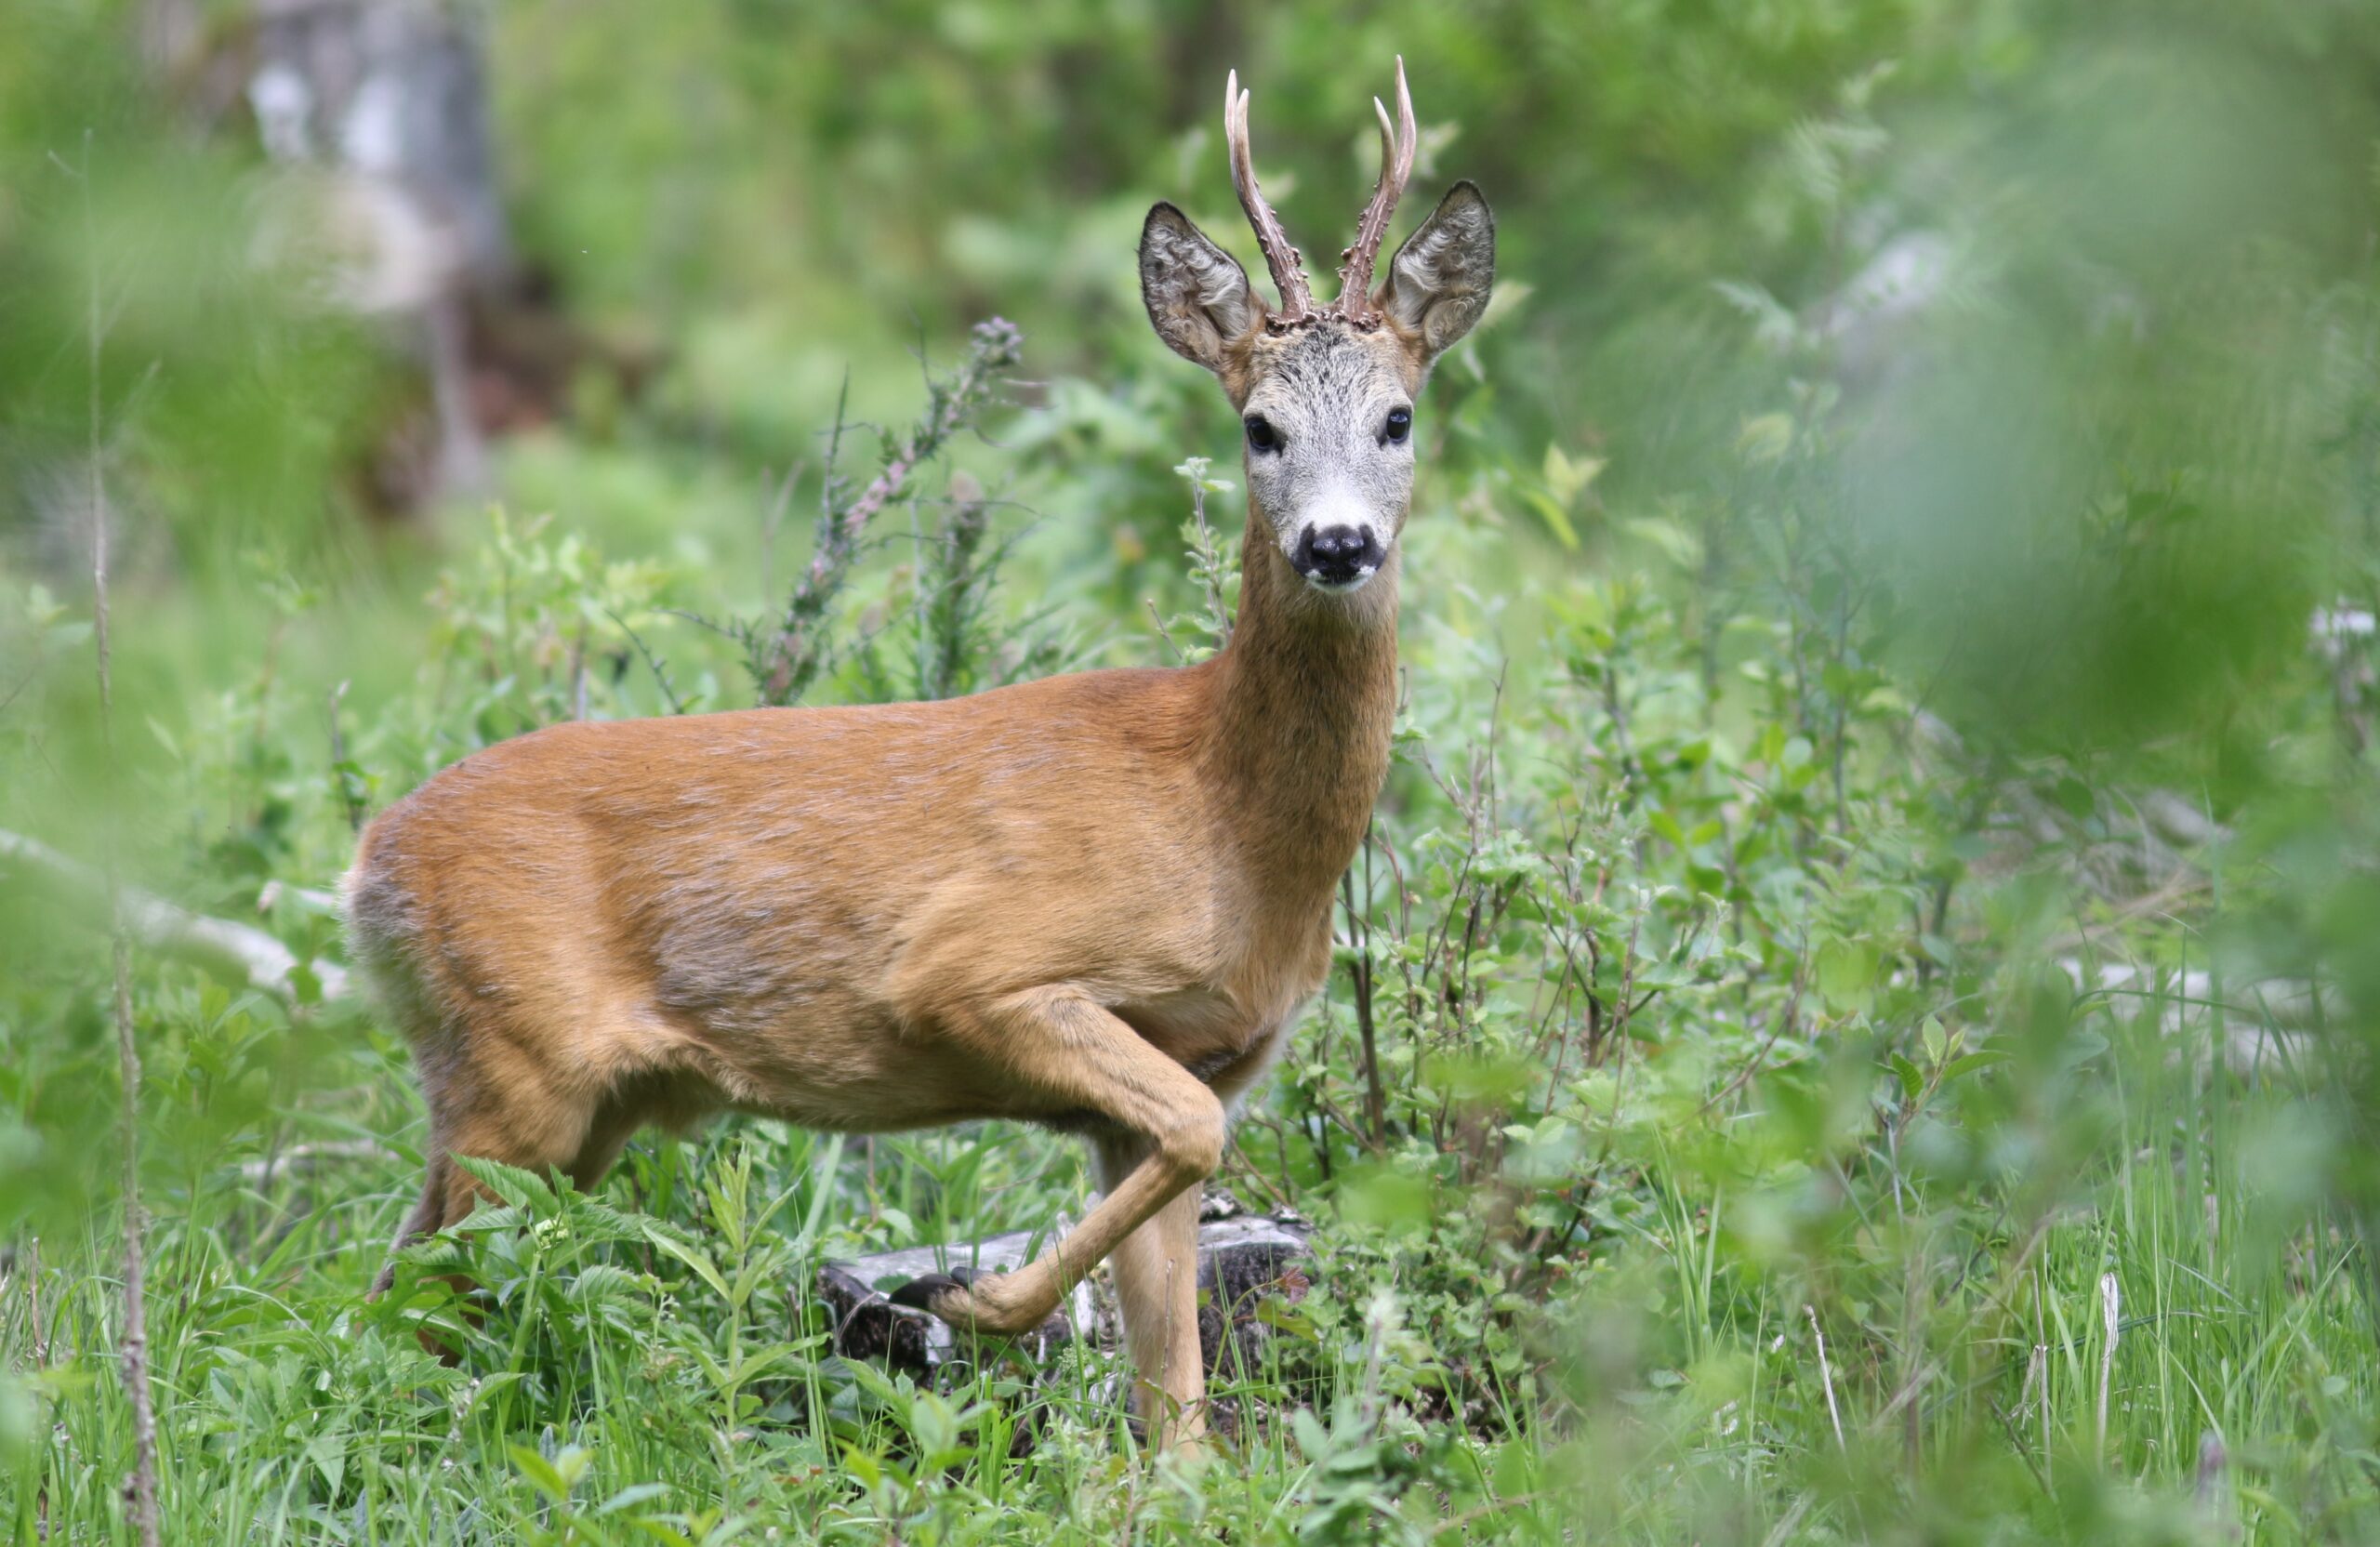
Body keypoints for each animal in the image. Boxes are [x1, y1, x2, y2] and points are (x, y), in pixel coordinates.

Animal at [344, 58, 1493, 1452]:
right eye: (1260, 428)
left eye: (1399, 416)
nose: (1336, 544)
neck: (1224, 819)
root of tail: (367, 864)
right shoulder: (974, 967)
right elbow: (1190, 1142)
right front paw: (969, 1296)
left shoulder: (1186, 1068)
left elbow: (1174, 1380)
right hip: (513, 1068)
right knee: (410, 1295)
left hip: (564, 1104)